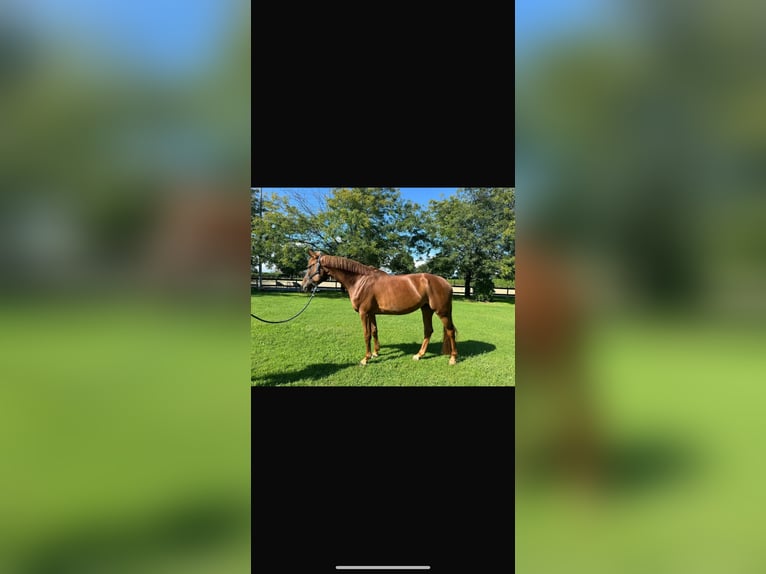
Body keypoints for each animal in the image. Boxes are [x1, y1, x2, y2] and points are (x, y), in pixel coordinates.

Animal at [300, 250, 458, 366]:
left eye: (310, 266)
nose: (304, 286)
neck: (360, 281)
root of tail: (446, 283)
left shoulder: (363, 313)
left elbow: (366, 334)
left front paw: (365, 358)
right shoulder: (371, 313)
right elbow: (374, 331)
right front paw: (375, 353)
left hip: (442, 312)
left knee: (450, 331)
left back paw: (453, 358)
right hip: (426, 309)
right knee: (428, 330)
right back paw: (419, 355)